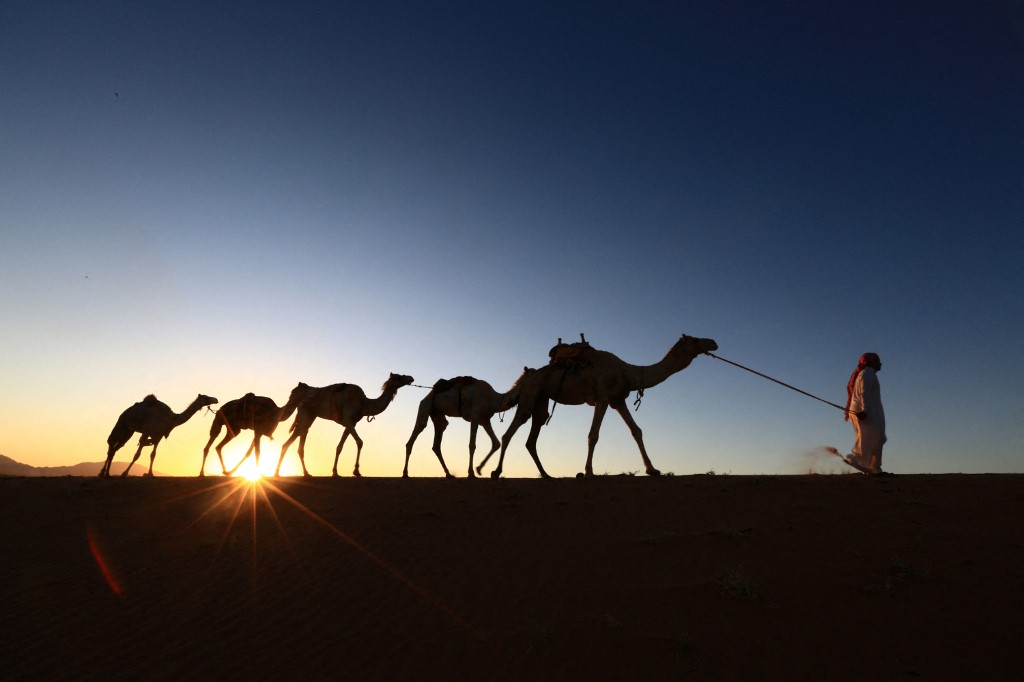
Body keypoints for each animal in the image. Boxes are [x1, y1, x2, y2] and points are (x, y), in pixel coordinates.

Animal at [275, 373, 415, 477]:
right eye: (399, 377)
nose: (411, 378)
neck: (365, 404)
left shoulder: (350, 424)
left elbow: (339, 447)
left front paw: (335, 472)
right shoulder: (348, 420)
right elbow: (360, 442)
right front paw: (356, 471)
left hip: (309, 417)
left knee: (298, 444)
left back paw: (306, 473)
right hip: (306, 415)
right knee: (289, 443)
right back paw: (278, 473)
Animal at [402, 368, 534, 478]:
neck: (494, 399)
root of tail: (429, 393)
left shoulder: (485, 421)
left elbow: (496, 443)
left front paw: (479, 469)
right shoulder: (475, 418)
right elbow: (472, 445)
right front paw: (471, 473)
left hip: (437, 416)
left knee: (437, 443)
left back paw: (448, 474)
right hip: (425, 407)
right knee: (415, 435)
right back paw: (405, 473)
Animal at [488, 334, 718, 479]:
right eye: (695, 339)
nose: (714, 343)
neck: (627, 372)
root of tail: (526, 375)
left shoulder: (618, 400)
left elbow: (637, 431)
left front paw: (652, 469)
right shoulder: (603, 397)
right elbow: (593, 434)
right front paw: (588, 472)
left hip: (541, 400)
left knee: (532, 436)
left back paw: (546, 475)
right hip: (531, 393)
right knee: (511, 430)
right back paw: (496, 472)